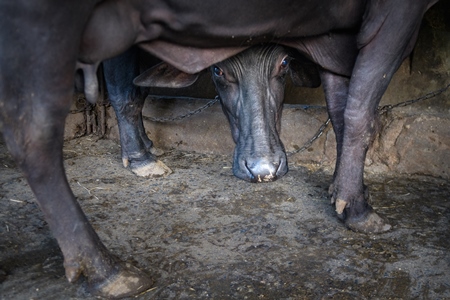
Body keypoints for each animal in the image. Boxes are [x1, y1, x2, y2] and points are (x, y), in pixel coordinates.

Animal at [0, 0, 436, 298]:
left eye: (283, 64)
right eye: (219, 69)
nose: (263, 168)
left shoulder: (334, 35)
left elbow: (341, 105)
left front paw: (341, 192)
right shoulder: (395, 13)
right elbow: (362, 107)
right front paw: (359, 209)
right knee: (32, 135)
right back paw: (105, 268)